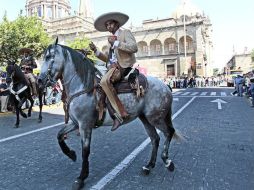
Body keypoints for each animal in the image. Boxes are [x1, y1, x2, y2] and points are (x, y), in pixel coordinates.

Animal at [38, 39, 179, 189]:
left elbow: (85, 151)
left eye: (48, 57)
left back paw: (167, 161)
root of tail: (165, 86)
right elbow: (59, 136)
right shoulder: (75, 123)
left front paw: (81, 178)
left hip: (155, 118)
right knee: (155, 139)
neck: (83, 88)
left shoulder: (85, 125)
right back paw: (149, 166)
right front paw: (71, 154)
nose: (40, 80)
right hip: (145, 118)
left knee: (169, 132)